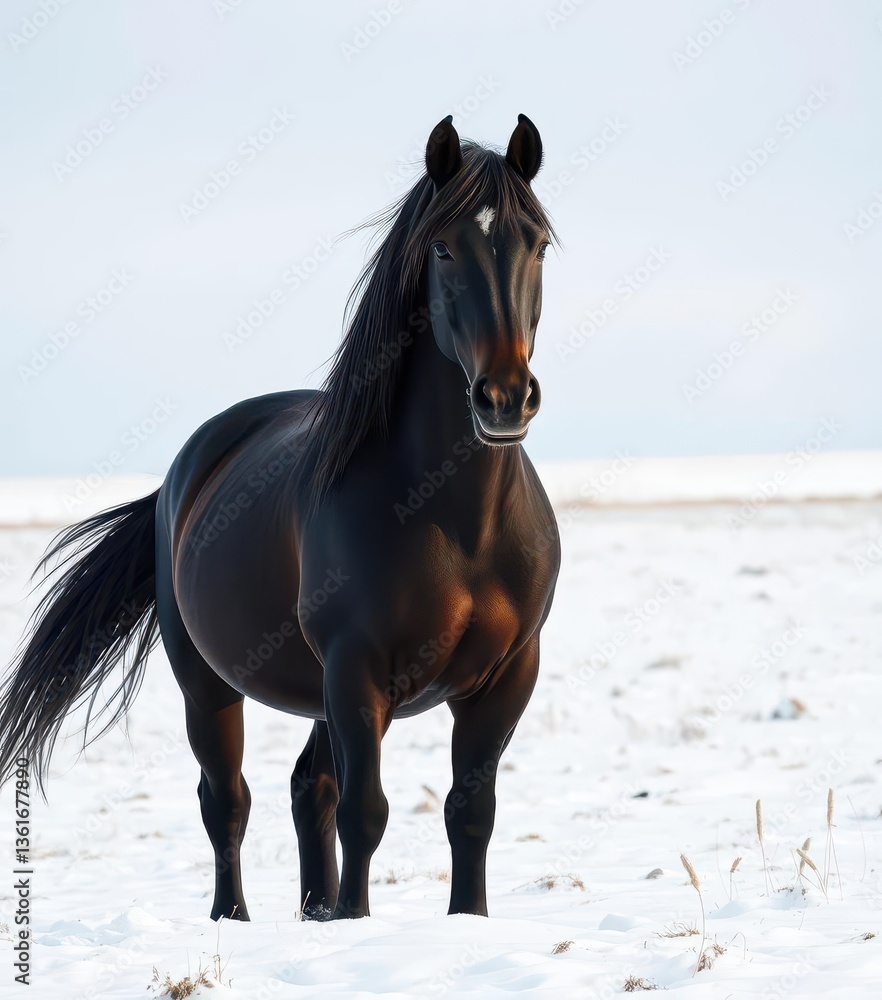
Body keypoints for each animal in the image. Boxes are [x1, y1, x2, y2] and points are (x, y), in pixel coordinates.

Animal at [0, 114, 561, 922]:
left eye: (538, 243)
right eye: (444, 248)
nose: (505, 398)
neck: (457, 523)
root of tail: (182, 476)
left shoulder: (507, 678)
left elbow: (469, 813)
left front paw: (463, 922)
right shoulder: (357, 672)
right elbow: (366, 811)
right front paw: (357, 922)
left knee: (307, 789)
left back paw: (313, 911)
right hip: (209, 685)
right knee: (227, 800)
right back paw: (233, 919)